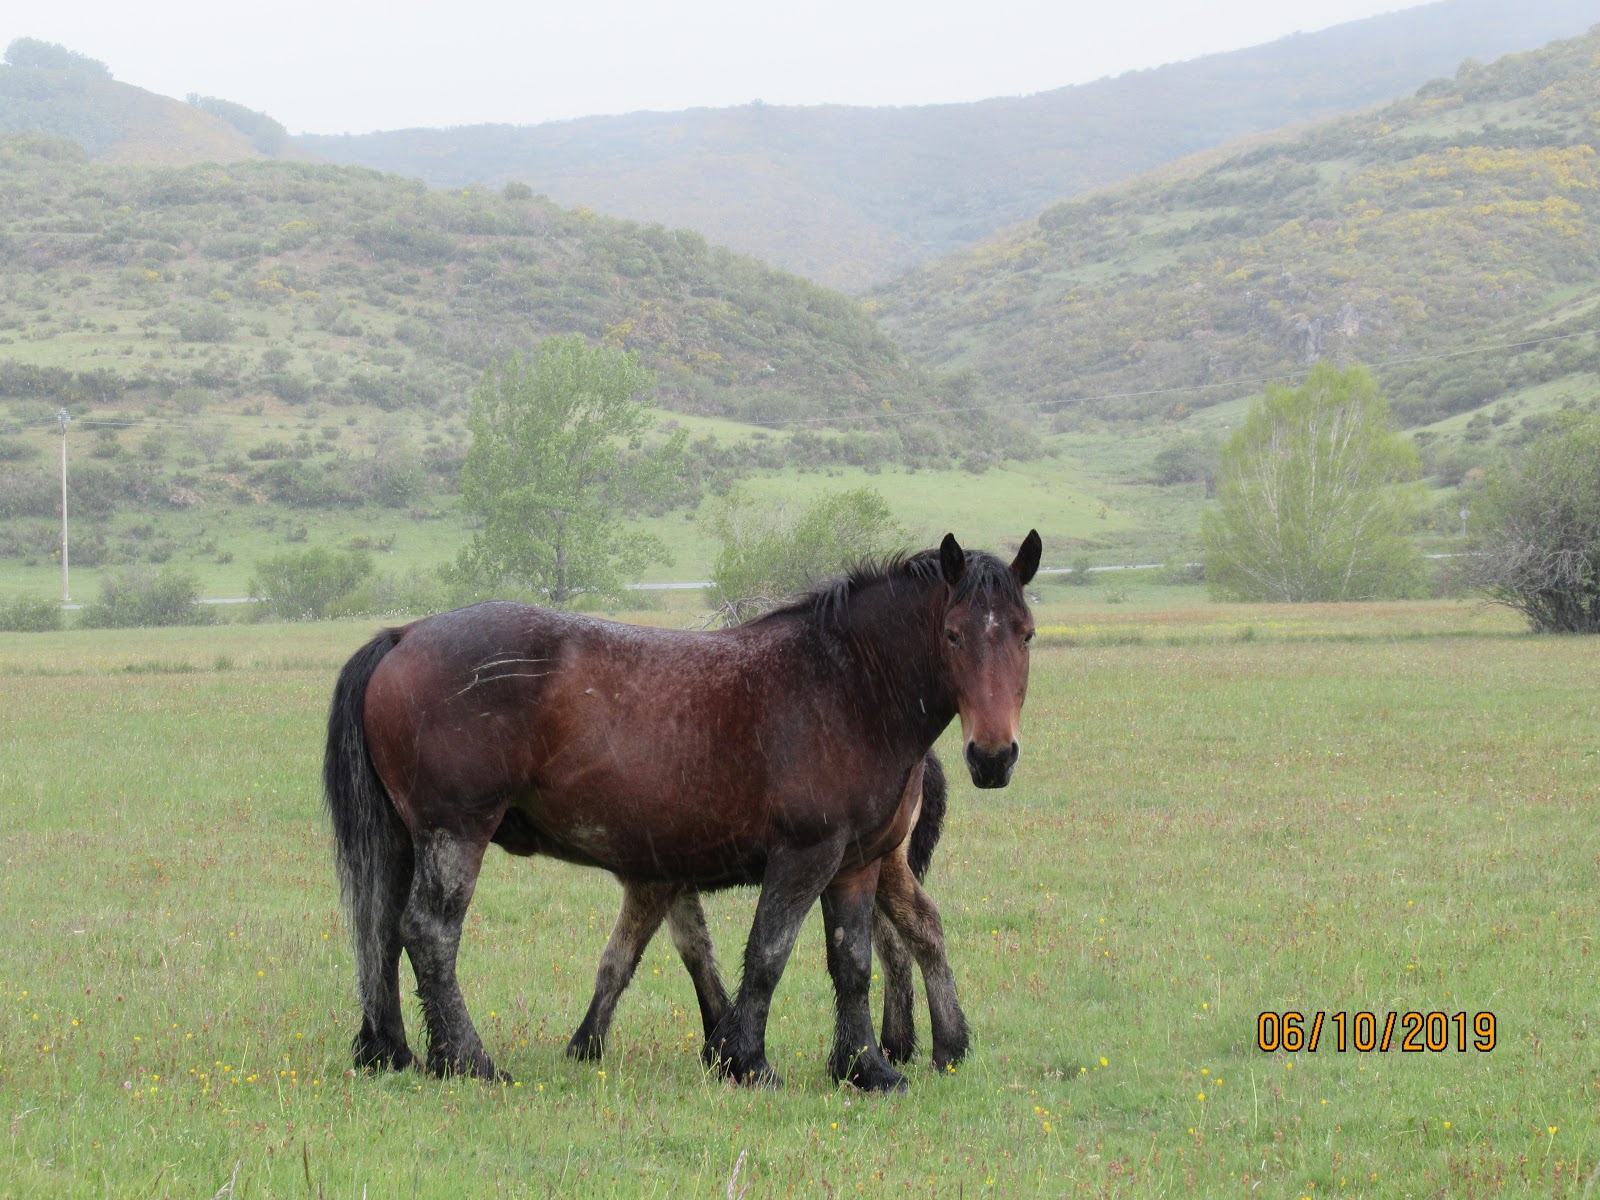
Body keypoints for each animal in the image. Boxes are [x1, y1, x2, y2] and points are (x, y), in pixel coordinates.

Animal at [565, 751, 968, 1071]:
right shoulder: (676, 885)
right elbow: (696, 950)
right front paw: (718, 1034)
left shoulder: (652, 883)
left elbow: (617, 961)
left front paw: (584, 1045)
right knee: (901, 942)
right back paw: (902, 1045)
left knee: (922, 927)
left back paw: (944, 1047)